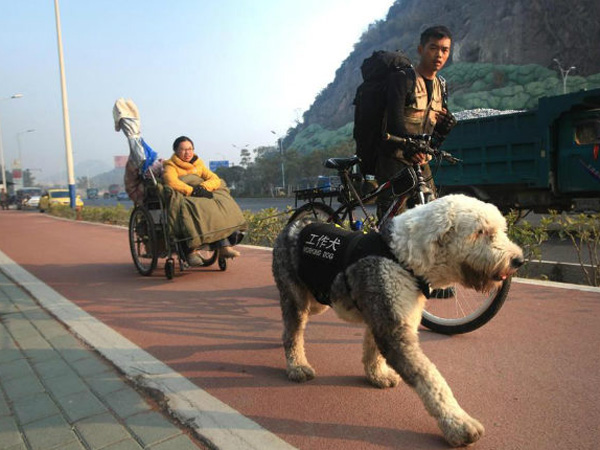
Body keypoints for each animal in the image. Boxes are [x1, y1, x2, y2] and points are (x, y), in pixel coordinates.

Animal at [274, 194, 524, 446]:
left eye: (501, 229)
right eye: (480, 232)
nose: (518, 260)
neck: (403, 258)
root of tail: (293, 225)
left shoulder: (387, 314)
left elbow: (373, 349)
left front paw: (378, 375)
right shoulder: (394, 329)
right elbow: (430, 379)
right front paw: (459, 424)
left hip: (317, 300)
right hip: (296, 296)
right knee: (292, 331)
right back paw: (297, 366)